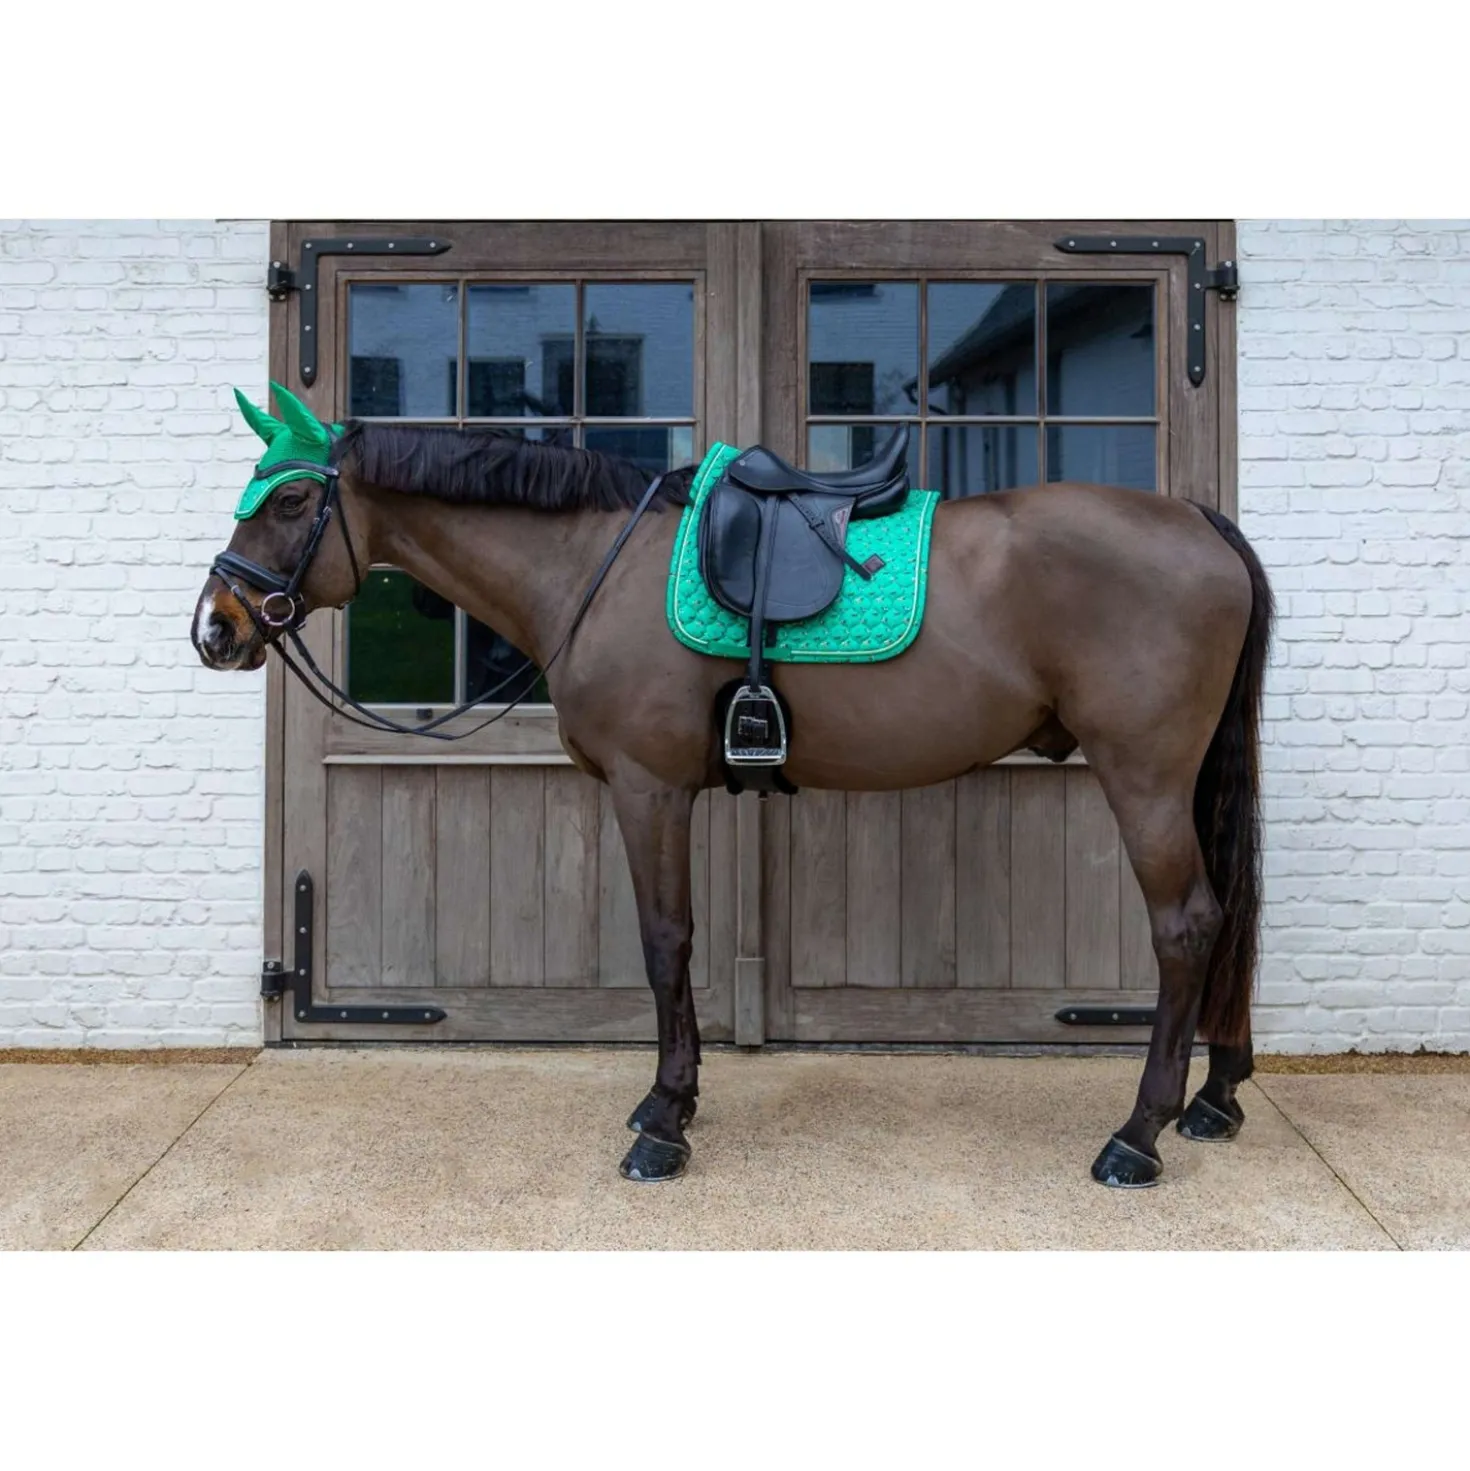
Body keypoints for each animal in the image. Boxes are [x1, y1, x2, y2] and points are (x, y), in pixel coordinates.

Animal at [192, 385, 1273, 1189]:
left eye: (290, 502)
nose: (217, 626)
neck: (594, 564)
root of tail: (1196, 519)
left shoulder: (649, 789)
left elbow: (666, 941)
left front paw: (664, 1125)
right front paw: (669, 1100)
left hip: (1144, 776)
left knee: (1186, 925)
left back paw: (1137, 1136)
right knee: (1226, 916)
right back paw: (1215, 1098)